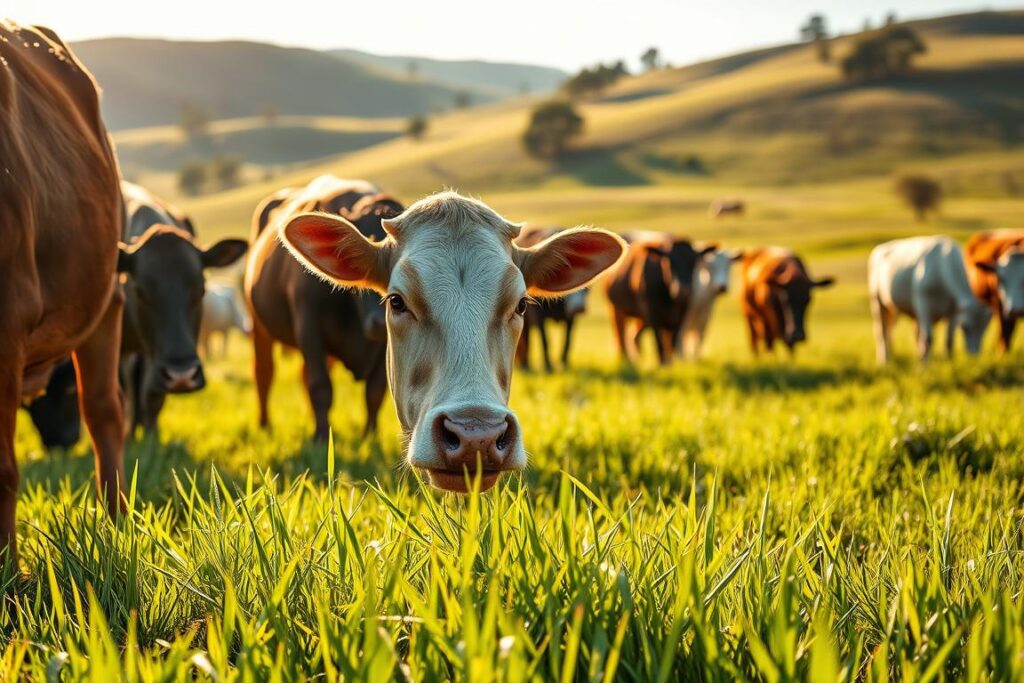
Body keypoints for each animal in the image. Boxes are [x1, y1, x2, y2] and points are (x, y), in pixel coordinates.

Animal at [245, 176, 405, 442]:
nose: (378, 323)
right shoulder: (309, 327)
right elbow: (320, 386)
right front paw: (320, 437)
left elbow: (375, 391)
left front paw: (369, 436)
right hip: (259, 325)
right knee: (264, 373)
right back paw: (265, 425)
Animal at [514, 226, 590, 372]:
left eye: (588, 287)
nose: (578, 307)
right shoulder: (538, 314)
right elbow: (545, 339)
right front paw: (548, 366)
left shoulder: (571, 318)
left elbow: (567, 339)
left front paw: (564, 364)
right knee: (526, 338)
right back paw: (526, 364)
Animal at [605, 234, 714, 365]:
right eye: (670, 262)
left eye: (693, 263)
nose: (682, 290)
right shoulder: (653, 315)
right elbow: (660, 343)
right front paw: (663, 365)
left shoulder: (681, 315)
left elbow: (672, 343)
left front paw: (670, 364)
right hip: (616, 308)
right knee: (620, 336)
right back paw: (626, 360)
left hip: (641, 316)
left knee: (634, 336)